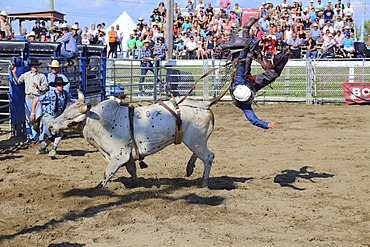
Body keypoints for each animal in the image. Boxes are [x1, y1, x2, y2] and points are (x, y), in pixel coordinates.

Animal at [48, 91, 217, 188]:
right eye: (64, 111)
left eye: (70, 119)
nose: (50, 126)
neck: (101, 122)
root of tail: (204, 104)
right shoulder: (129, 155)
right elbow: (132, 170)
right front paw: (136, 185)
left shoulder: (119, 155)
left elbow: (108, 172)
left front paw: (98, 189)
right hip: (196, 141)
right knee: (200, 154)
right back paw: (189, 168)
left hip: (195, 141)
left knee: (208, 156)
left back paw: (204, 182)